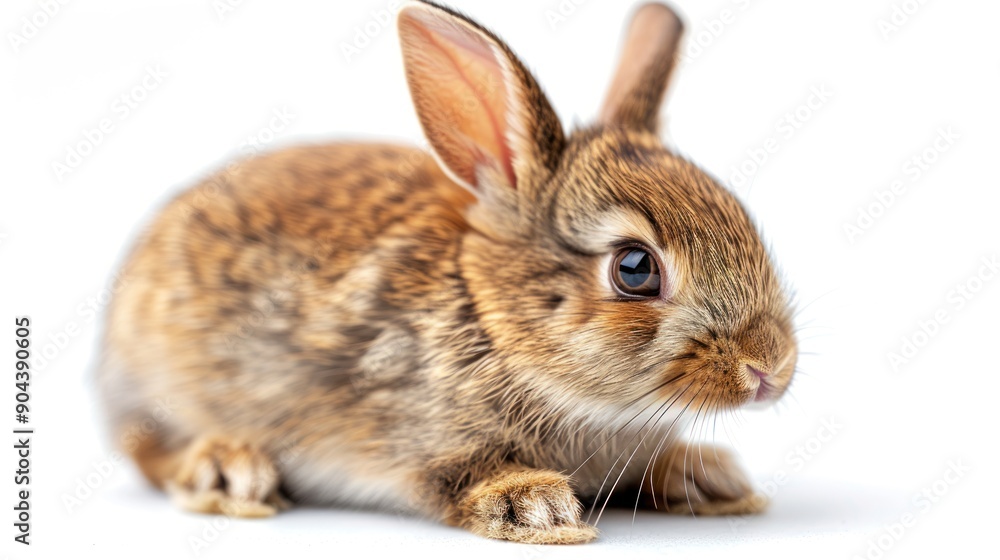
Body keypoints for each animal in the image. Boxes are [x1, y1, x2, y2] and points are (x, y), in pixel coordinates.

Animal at [97, 0, 797, 545]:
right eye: (634, 268)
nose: (769, 368)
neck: (497, 326)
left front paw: (709, 478)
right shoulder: (416, 433)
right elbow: (458, 477)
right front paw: (536, 507)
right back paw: (228, 468)